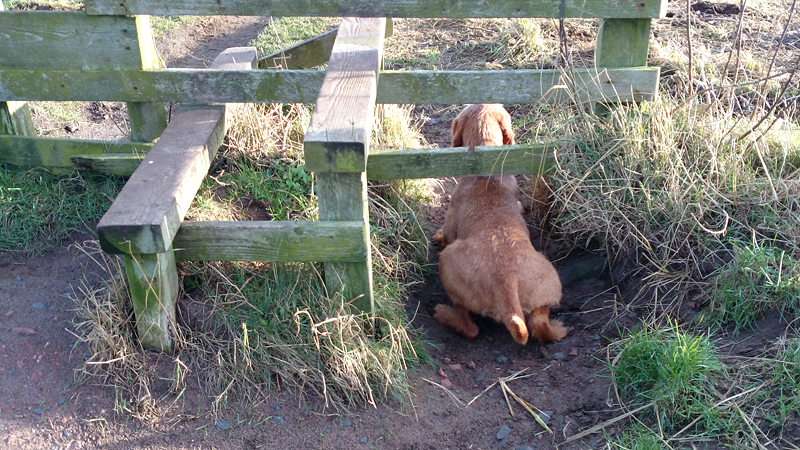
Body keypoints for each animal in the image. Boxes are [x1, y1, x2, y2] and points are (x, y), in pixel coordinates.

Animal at [432, 104, 568, 344]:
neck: (487, 157)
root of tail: (507, 282)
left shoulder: (450, 225)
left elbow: (445, 233)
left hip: (447, 262)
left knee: (470, 328)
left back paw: (444, 314)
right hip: (548, 287)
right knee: (539, 323)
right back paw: (557, 329)